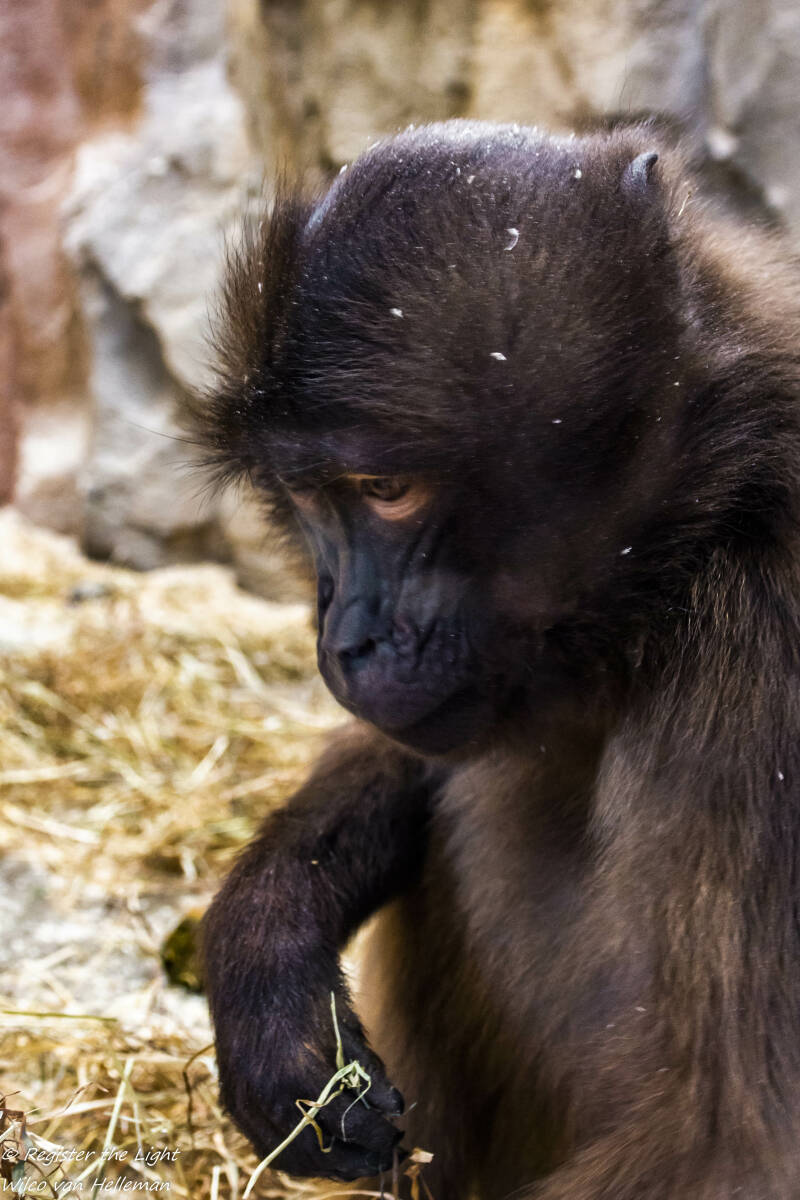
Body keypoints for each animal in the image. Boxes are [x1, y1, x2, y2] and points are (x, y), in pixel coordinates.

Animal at [196, 121, 800, 1199]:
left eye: (386, 490)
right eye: (308, 500)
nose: (345, 639)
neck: (704, 521)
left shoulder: (764, 673)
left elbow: (729, 1140)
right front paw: (267, 975)